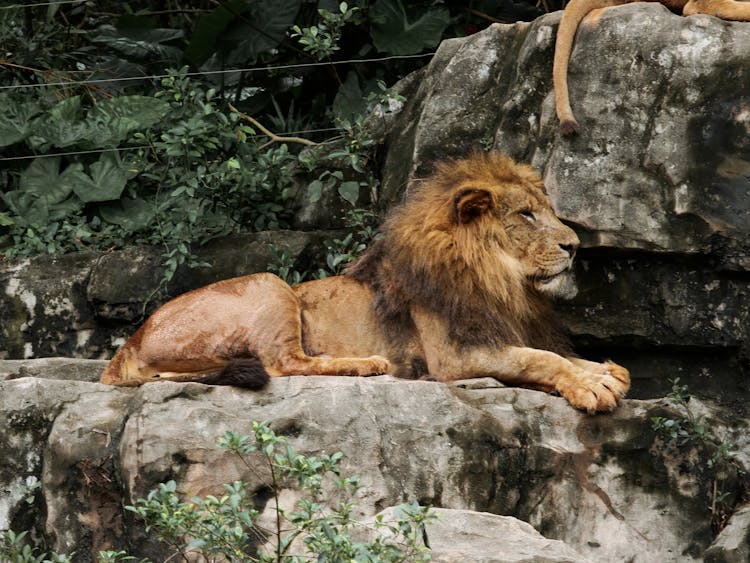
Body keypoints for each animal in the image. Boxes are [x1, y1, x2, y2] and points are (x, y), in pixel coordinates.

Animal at [98, 152, 628, 416]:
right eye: (526, 215)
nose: (574, 246)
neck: (499, 278)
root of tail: (130, 342)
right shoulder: (454, 356)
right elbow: (539, 358)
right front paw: (592, 385)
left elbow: (556, 353)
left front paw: (605, 370)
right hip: (270, 284)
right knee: (284, 363)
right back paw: (369, 364)